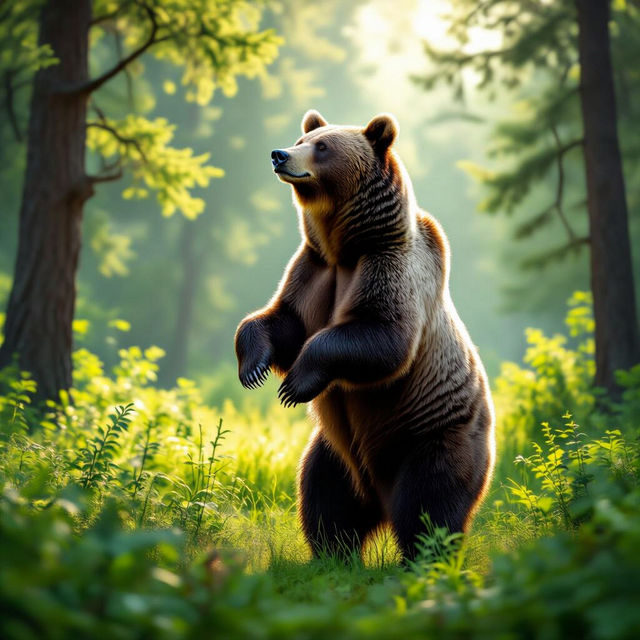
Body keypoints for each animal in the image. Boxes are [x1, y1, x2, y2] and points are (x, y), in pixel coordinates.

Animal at [235, 110, 495, 561]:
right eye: (303, 139)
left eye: (323, 146)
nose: (279, 154)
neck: (347, 247)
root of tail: (379, 495)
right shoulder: (314, 269)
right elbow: (283, 321)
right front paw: (254, 367)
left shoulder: (389, 265)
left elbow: (383, 336)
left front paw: (294, 383)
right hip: (335, 450)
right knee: (324, 495)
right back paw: (332, 554)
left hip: (434, 434)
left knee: (429, 505)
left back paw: (424, 559)